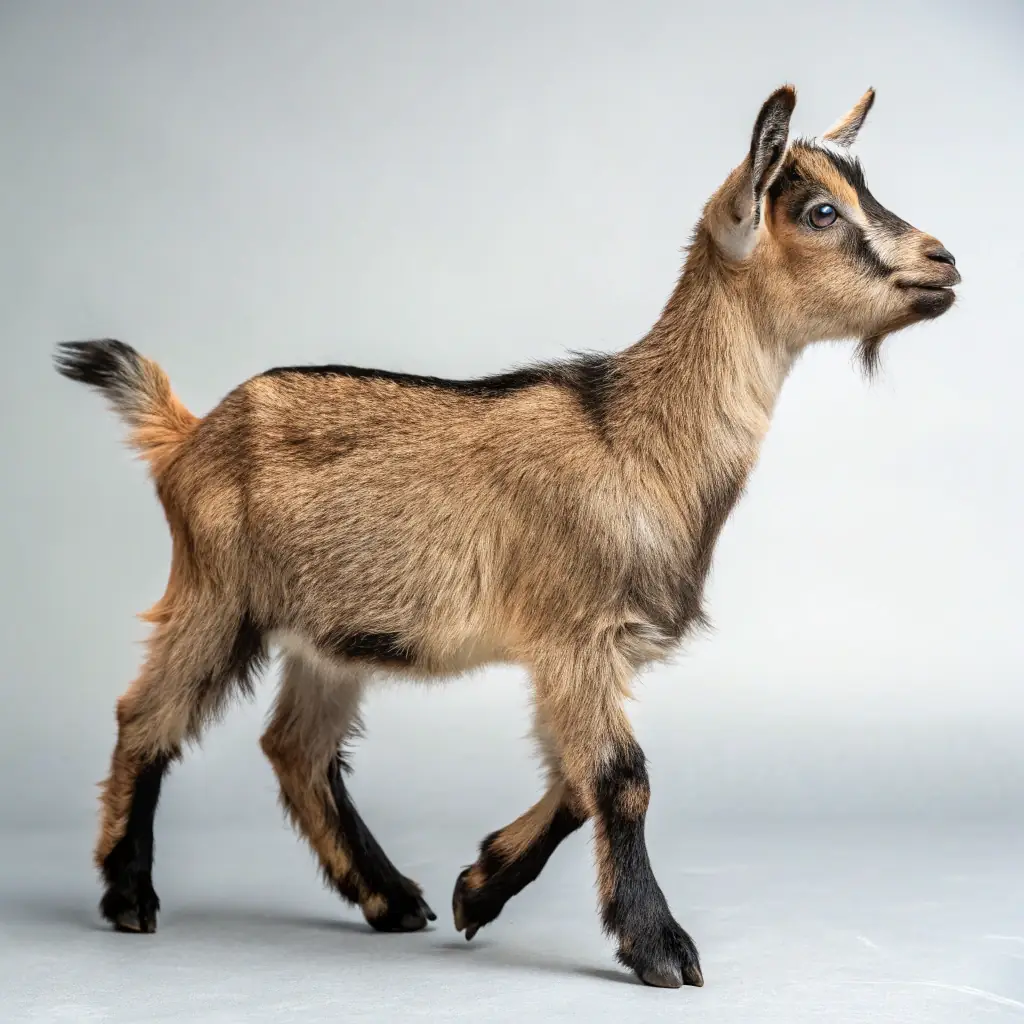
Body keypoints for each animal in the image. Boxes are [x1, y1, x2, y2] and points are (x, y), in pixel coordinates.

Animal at [54, 84, 959, 989]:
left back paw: (392, 899)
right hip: (216, 593)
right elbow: (619, 777)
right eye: (819, 211)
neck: (635, 437)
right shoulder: (574, 630)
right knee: (146, 716)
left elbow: (575, 777)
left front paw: (478, 887)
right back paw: (129, 896)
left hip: (328, 634)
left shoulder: (585, 650)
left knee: (295, 748)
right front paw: (660, 948)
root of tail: (187, 435)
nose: (945, 263)